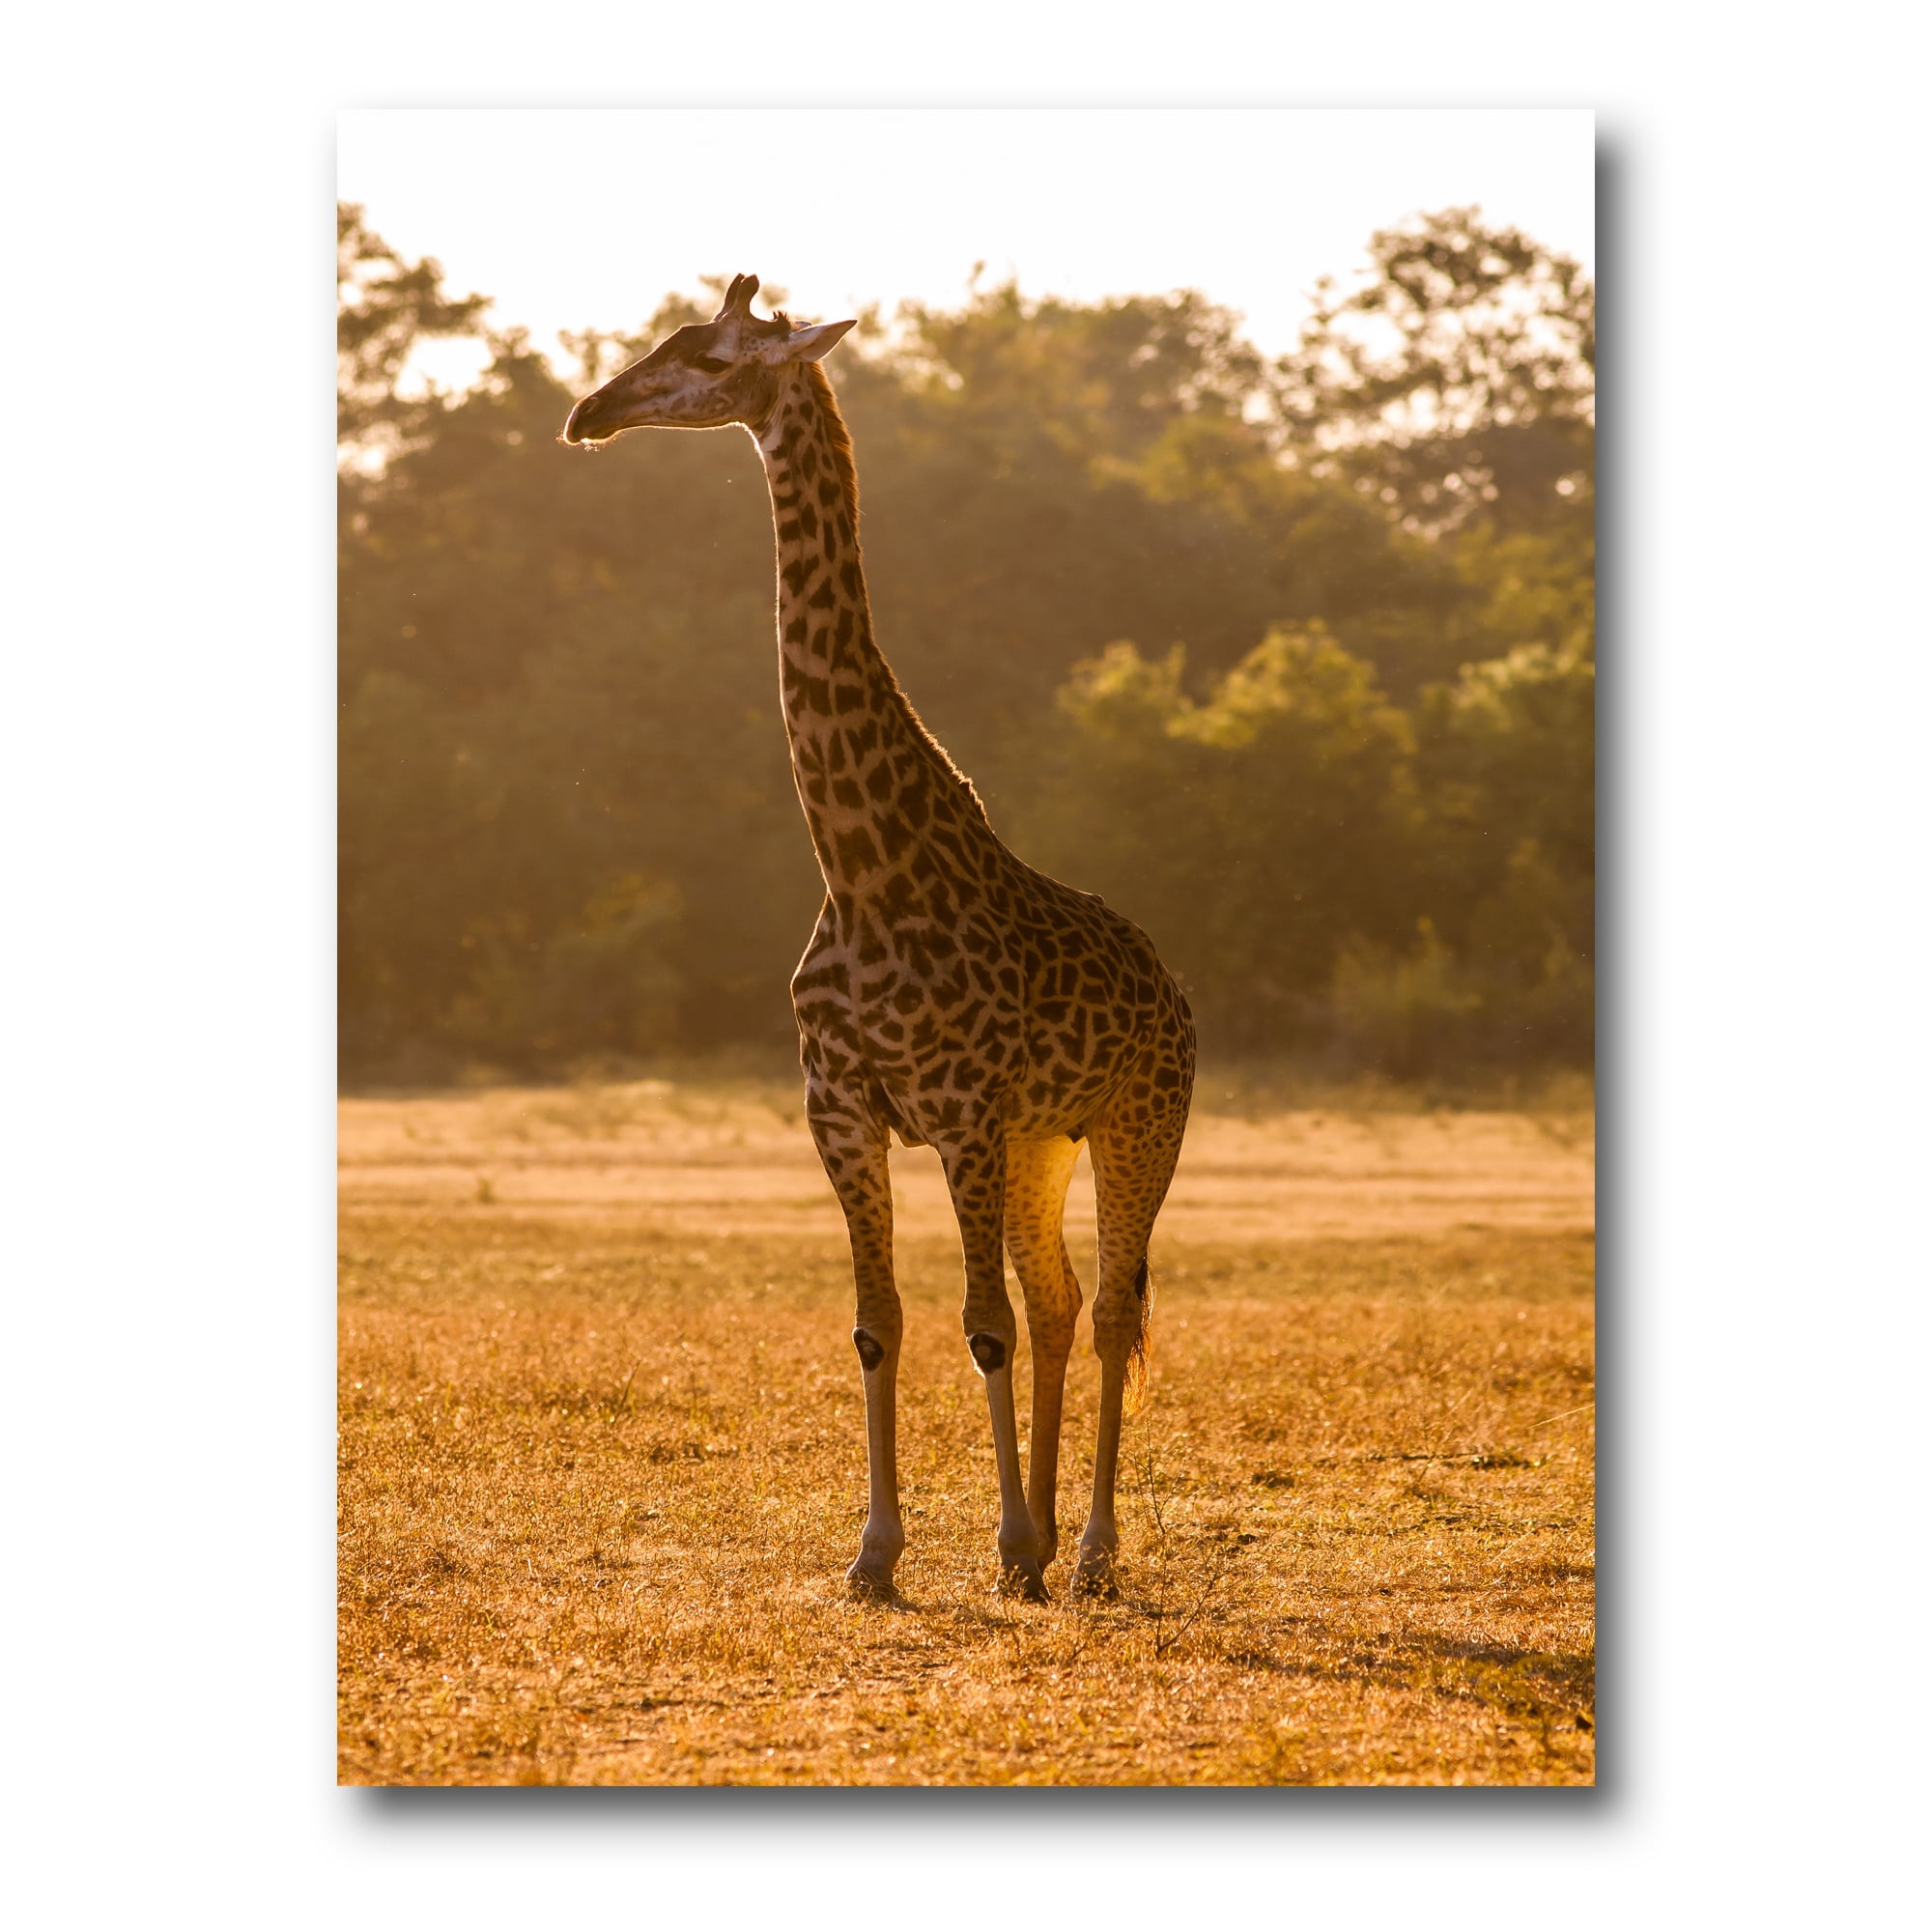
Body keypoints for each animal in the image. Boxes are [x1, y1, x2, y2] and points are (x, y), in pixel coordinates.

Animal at [562, 274, 1195, 1601]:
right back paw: (1045, 1539)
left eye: (708, 355)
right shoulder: (844, 1110)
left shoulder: (955, 1109)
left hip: (1135, 1120)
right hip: (1039, 1141)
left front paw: (1004, 1543)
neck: (859, 867)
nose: (589, 411)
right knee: (1058, 1299)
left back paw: (1086, 1549)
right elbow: (880, 1322)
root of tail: (1173, 985)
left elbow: (976, 1326)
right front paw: (880, 1552)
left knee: (1110, 1307)